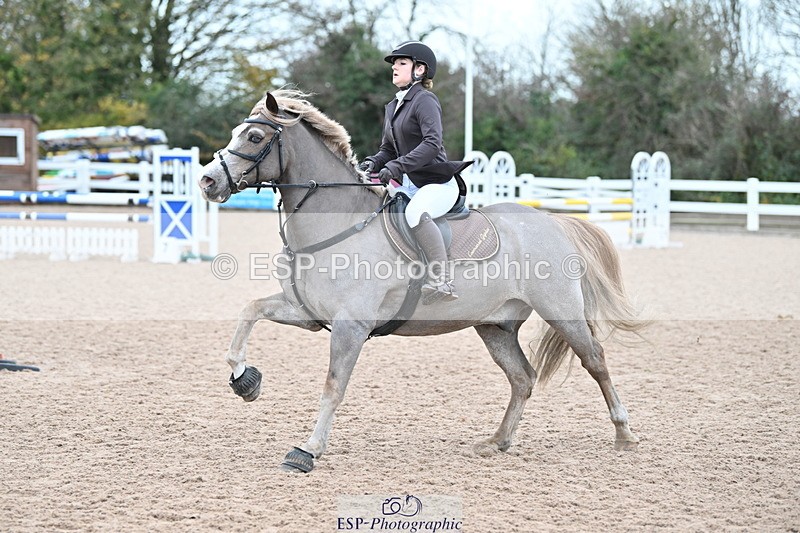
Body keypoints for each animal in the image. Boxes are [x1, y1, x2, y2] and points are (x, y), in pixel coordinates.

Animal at [198, 89, 647, 473]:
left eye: (255, 136)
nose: (207, 181)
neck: (338, 223)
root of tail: (553, 222)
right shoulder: (307, 313)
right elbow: (250, 311)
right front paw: (245, 380)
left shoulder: (350, 326)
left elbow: (333, 386)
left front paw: (308, 450)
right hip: (495, 326)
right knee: (522, 378)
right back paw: (496, 441)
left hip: (561, 311)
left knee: (595, 360)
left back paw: (624, 433)